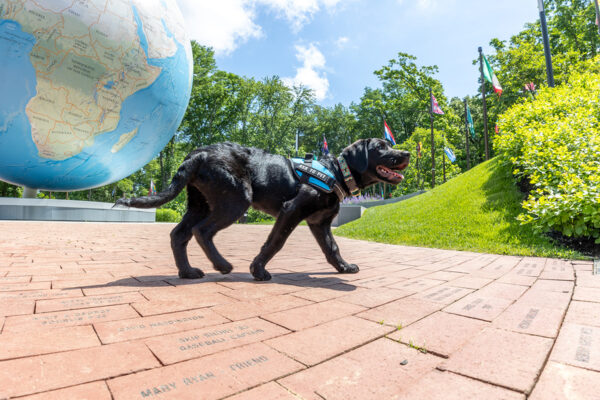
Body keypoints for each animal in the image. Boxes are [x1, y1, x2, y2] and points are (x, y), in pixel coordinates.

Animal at [115, 139, 410, 280]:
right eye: (380, 147)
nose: (406, 153)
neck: (337, 173)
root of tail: (198, 154)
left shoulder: (320, 223)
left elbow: (332, 248)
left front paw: (344, 267)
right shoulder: (291, 210)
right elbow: (274, 242)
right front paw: (258, 271)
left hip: (200, 203)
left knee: (179, 234)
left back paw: (187, 272)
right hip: (235, 199)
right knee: (202, 231)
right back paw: (222, 265)